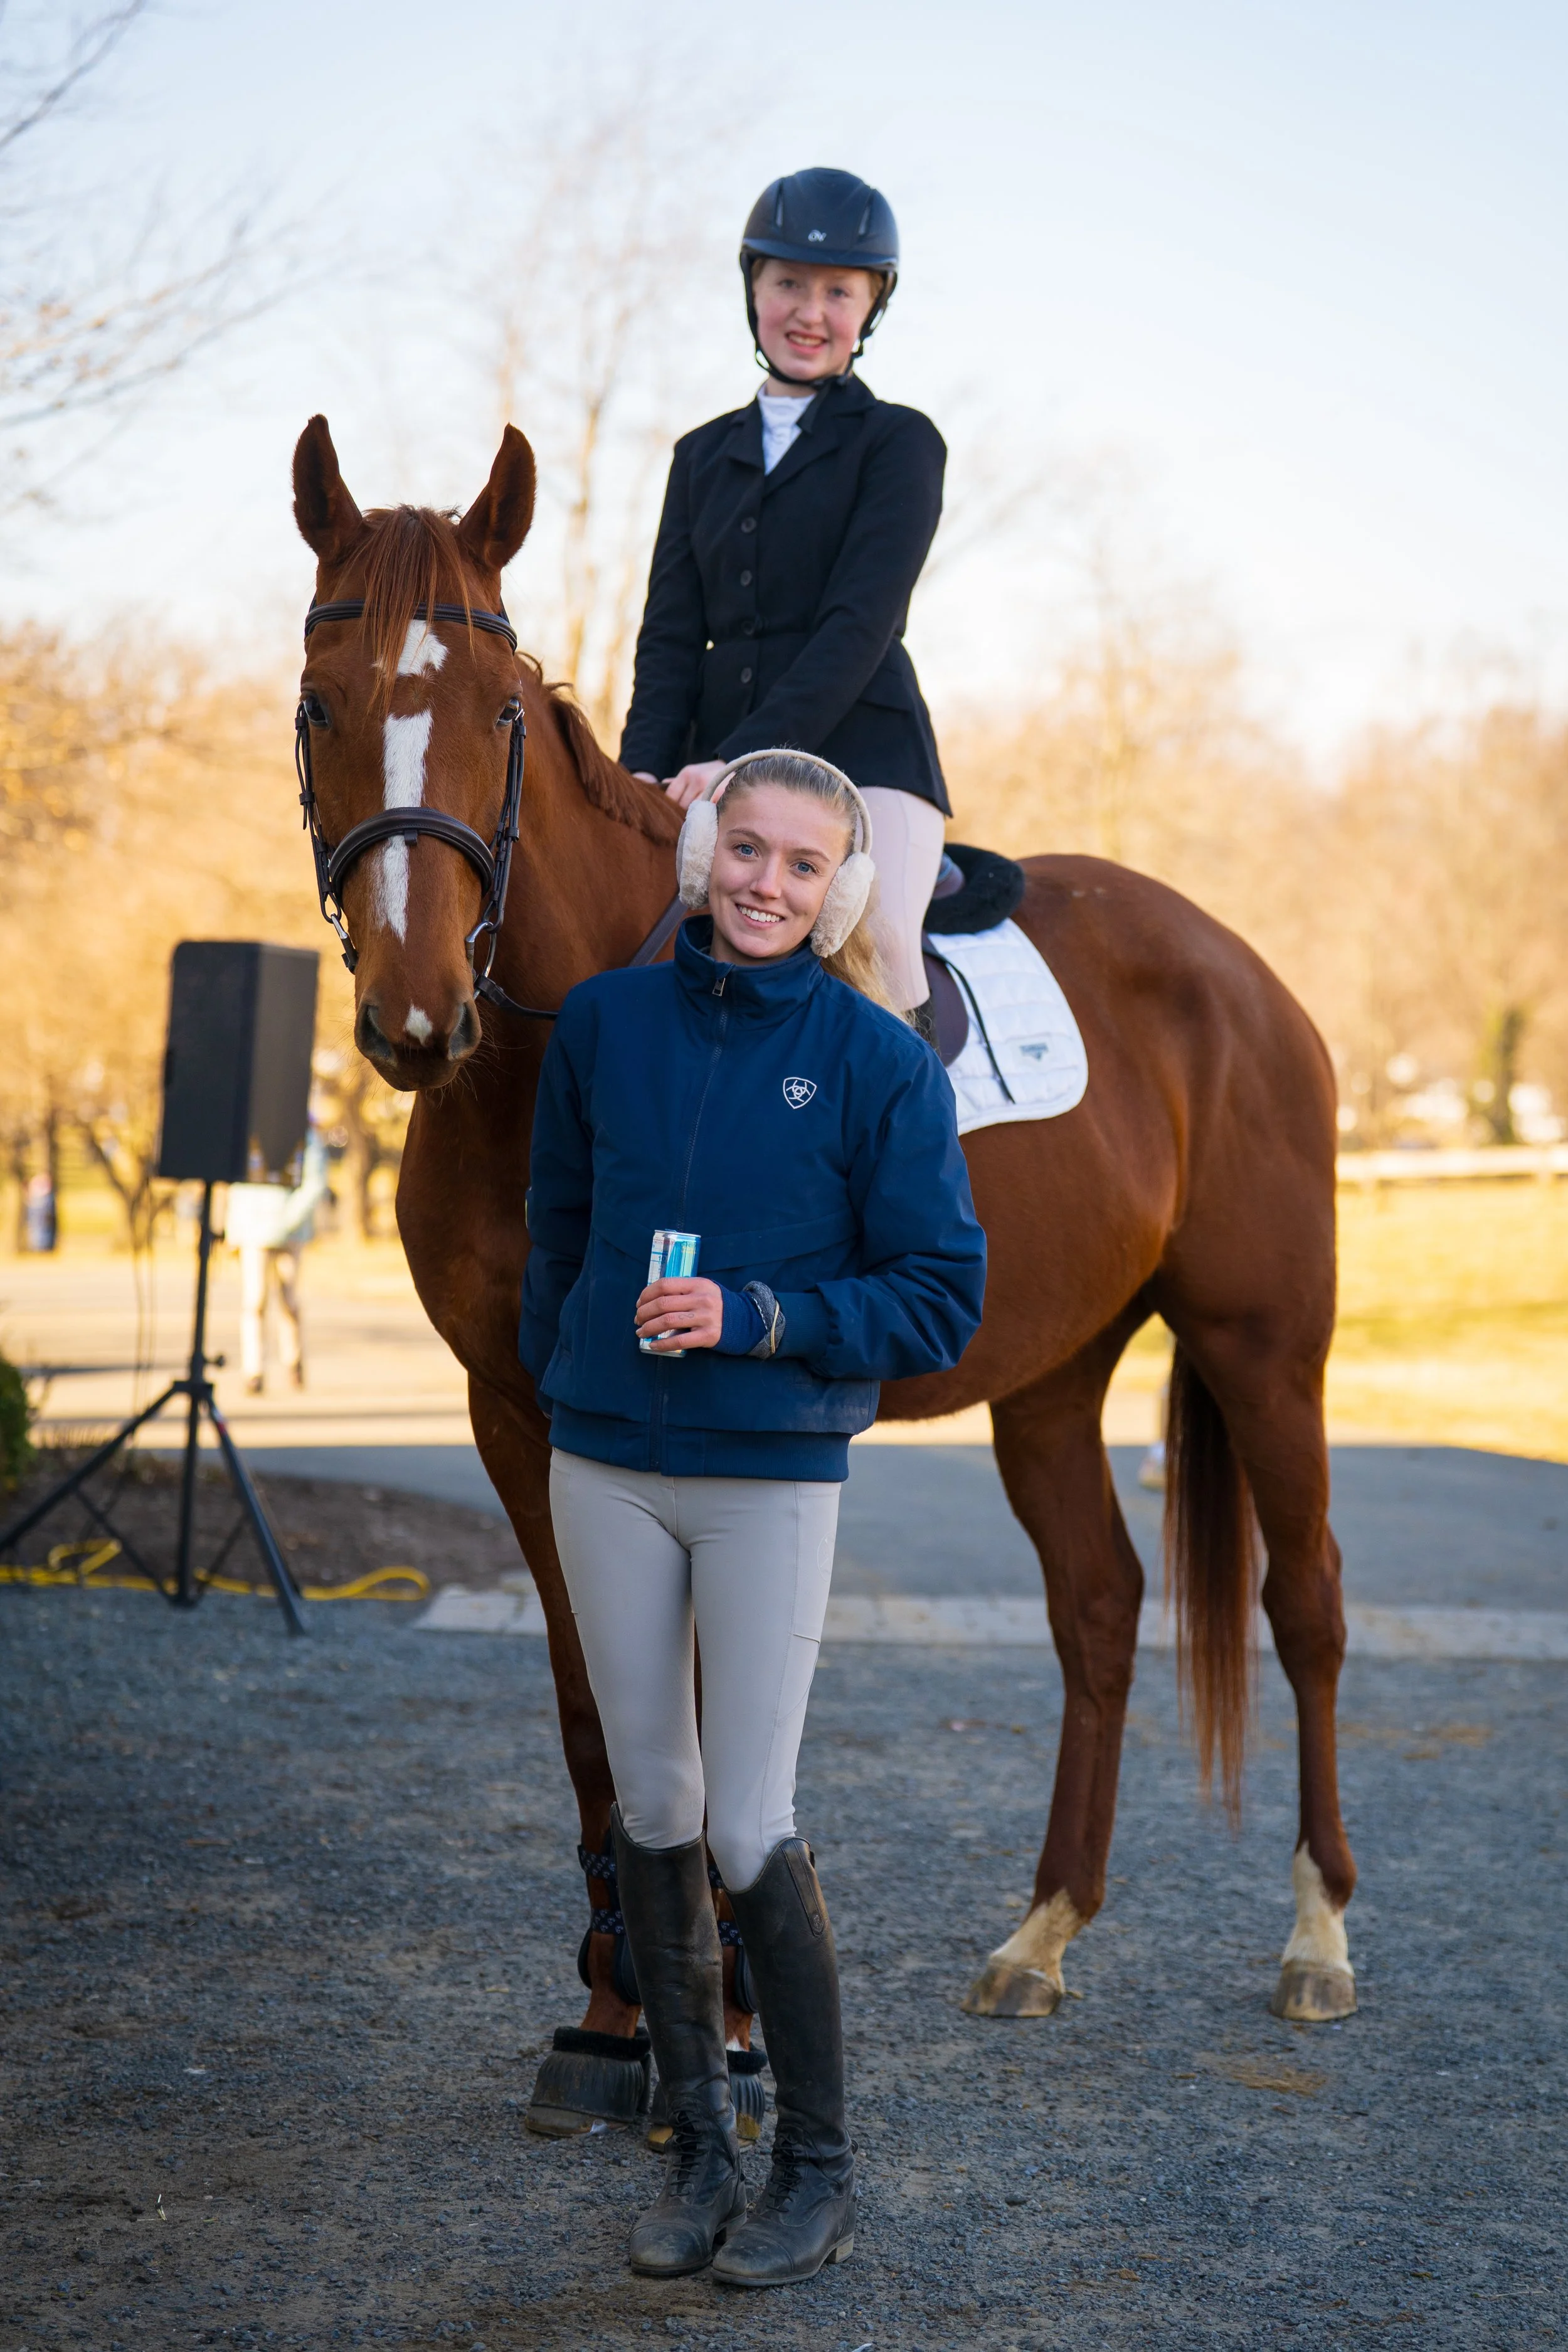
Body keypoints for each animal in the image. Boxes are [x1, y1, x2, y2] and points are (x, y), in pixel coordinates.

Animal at [290, 415, 1357, 2132]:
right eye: (321, 703)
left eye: (498, 712)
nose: (413, 1016)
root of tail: (1241, 970)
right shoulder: (517, 1414)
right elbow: (596, 1697)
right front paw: (616, 2008)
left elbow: (692, 1697)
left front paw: (717, 2023)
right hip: (1050, 1375)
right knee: (1100, 1606)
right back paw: (1040, 1935)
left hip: (1264, 1342)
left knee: (1304, 1600)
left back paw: (1316, 1935)